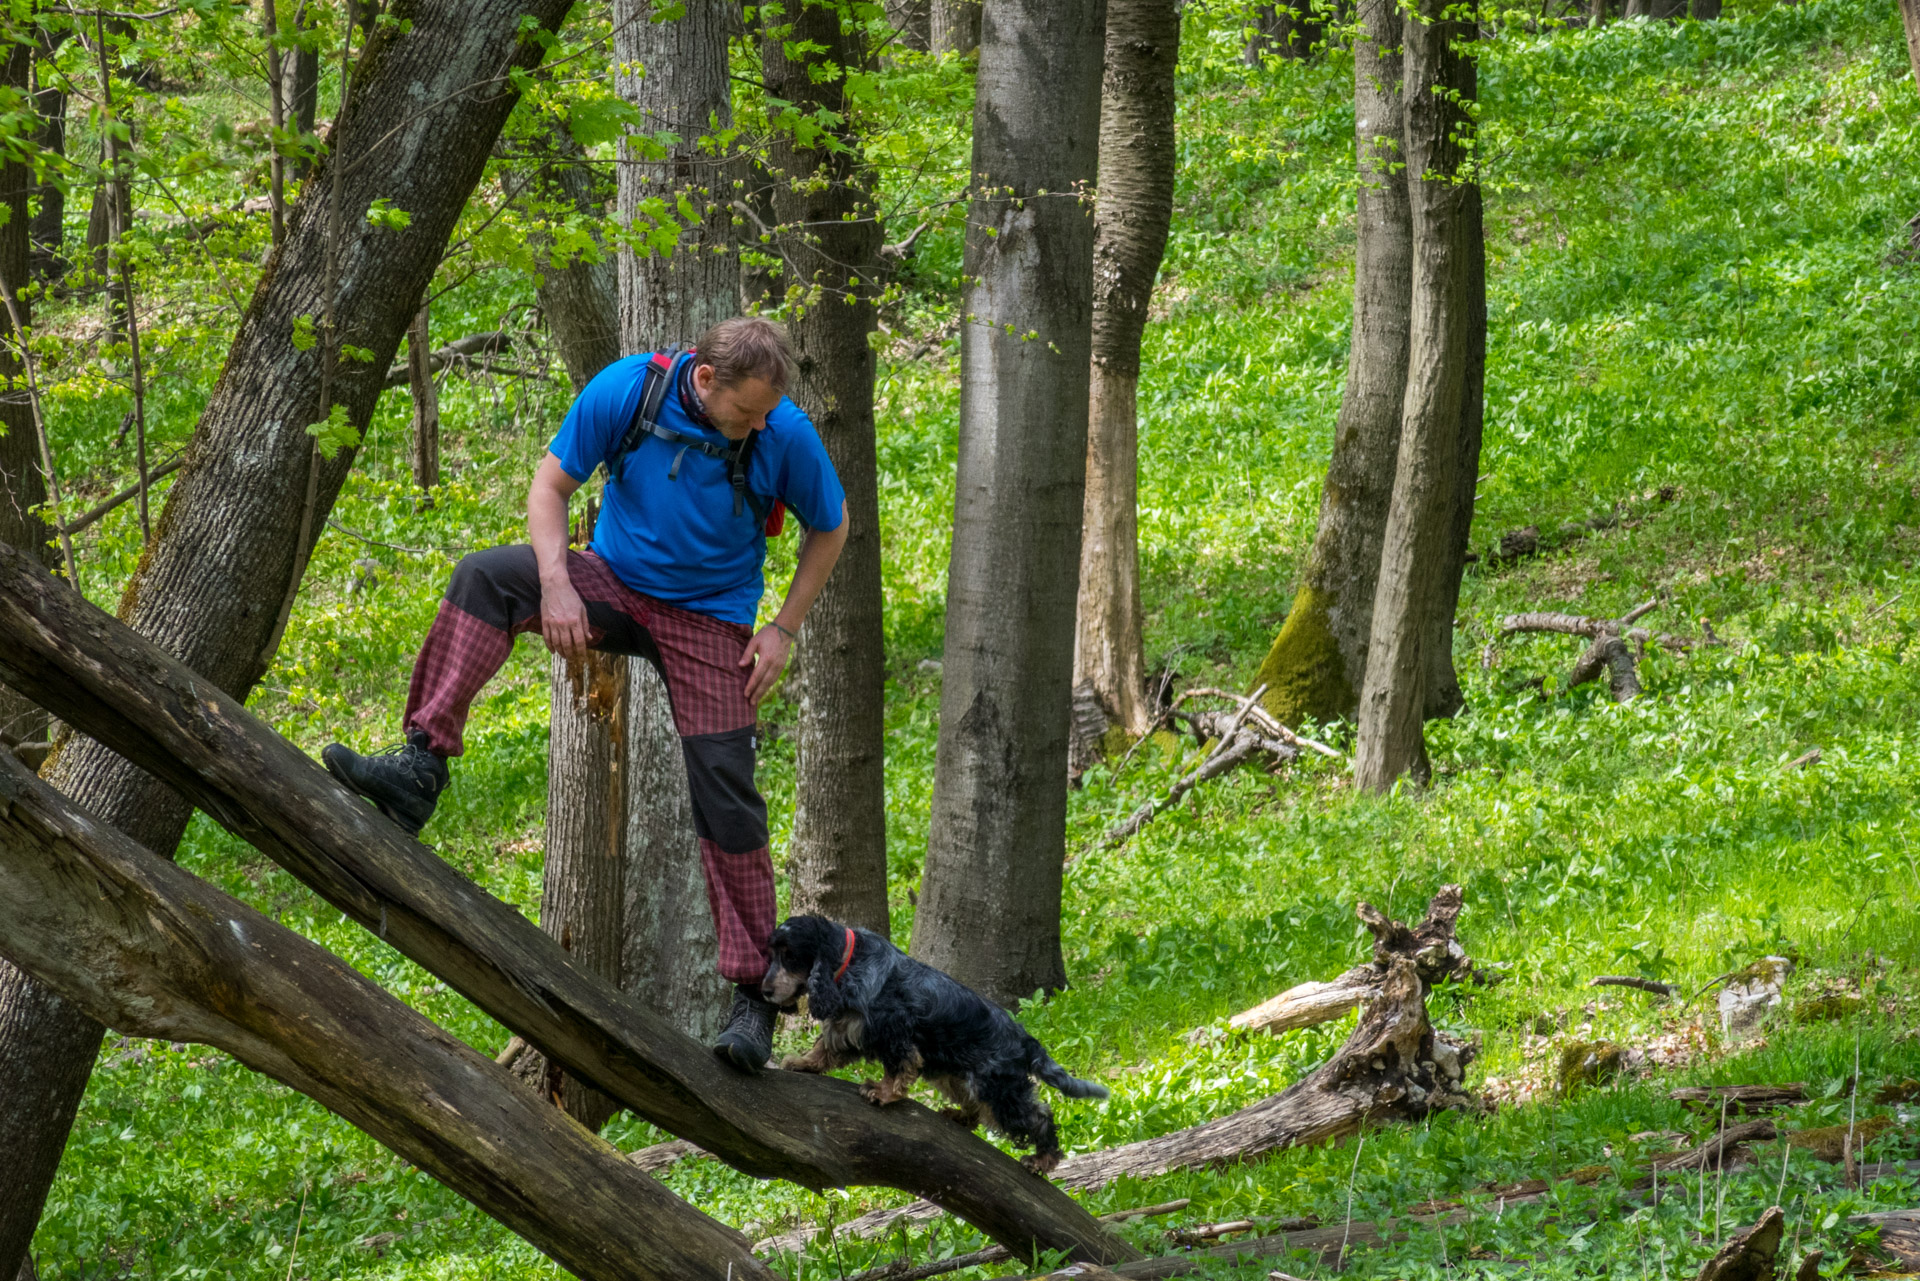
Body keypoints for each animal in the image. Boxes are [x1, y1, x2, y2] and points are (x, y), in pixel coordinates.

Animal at [756, 910, 1105, 1175]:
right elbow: (825, 1047)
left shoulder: (893, 1031)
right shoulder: (848, 1025)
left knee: (1039, 1116)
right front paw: (803, 1062)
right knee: (977, 1109)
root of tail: (1024, 1038)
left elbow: (897, 1068)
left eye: (790, 956)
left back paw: (1042, 1160)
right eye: (772, 955)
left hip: (998, 1089)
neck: (849, 961)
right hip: (954, 1076)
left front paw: (883, 1093)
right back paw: (960, 1116)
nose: (765, 990)